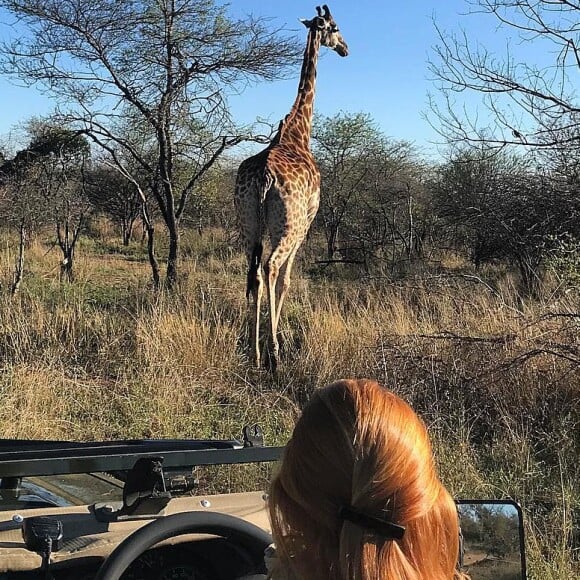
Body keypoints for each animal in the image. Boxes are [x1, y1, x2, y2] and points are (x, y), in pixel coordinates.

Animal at [234, 3, 348, 368]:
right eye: (335, 27)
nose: (345, 48)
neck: (299, 132)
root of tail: (264, 178)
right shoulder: (309, 221)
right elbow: (286, 279)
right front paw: (277, 339)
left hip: (248, 223)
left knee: (255, 272)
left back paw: (254, 351)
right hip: (290, 224)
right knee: (271, 268)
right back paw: (274, 351)